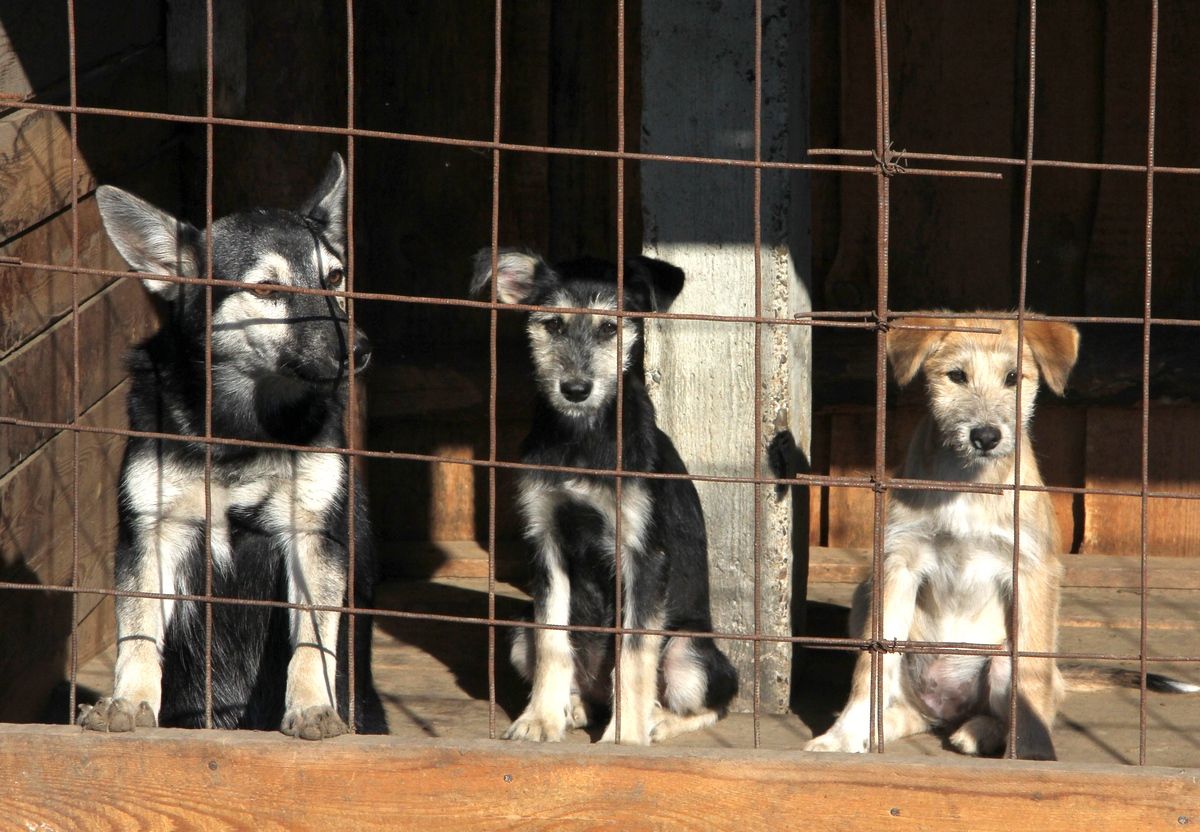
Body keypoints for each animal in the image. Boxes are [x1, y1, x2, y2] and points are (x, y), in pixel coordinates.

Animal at [77, 152, 386, 734]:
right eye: (267, 290)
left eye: (335, 277)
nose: (357, 350)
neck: (240, 428)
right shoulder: (152, 534)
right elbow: (138, 634)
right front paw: (129, 701)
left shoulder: (313, 537)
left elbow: (313, 641)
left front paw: (312, 706)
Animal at [470, 249, 734, 744]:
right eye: (553, 325)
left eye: (611, 328)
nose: (575, 390)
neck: (583, 438)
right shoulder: (547, 543)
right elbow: (553, 639)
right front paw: (540, 719)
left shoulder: (643, 555)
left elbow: (634, 652)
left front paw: (625, 737)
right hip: (518, 633)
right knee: (581, 679)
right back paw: (573, 707)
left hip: (688, 651)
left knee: (713, 700)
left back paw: (656, 720)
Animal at [806, 312, 1080, 758]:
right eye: (956, 376)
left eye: (1013, 378)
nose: (985, 436)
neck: (967, 483)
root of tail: (948, 709)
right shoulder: (899, 564)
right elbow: (870, 668)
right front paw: (842, 736)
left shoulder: (1032, 568)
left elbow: (1032, 674)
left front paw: (1033, 753)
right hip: (866, 600)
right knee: (906, 704)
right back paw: (879, 730)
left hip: (999, 661)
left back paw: (978, 731)